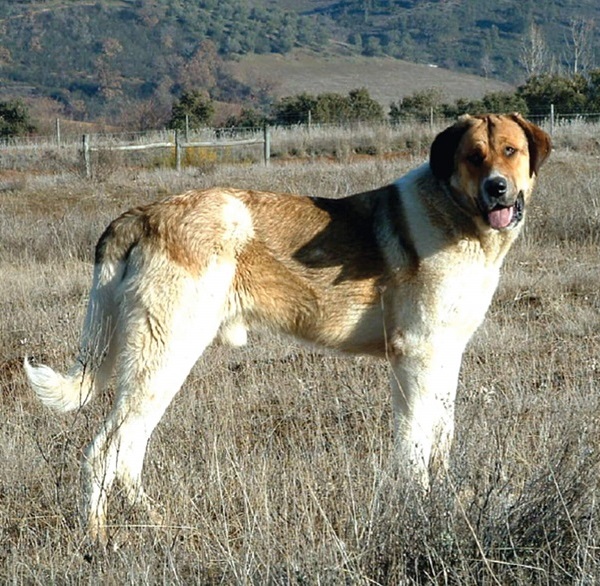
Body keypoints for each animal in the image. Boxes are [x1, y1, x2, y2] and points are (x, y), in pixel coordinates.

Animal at [25, 112, 552, 540]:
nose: (497, 188)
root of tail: (144, 215)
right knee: (105, 451)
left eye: (510, 151)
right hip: (164, 358)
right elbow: (415, 445)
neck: (458, 217)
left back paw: (155, 523)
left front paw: (442, 500)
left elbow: (441, 438)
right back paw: (97, 539)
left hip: (156, 368)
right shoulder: (416, 357)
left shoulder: (444, 357)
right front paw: (419, 509)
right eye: (473, 156)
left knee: (128, 453)